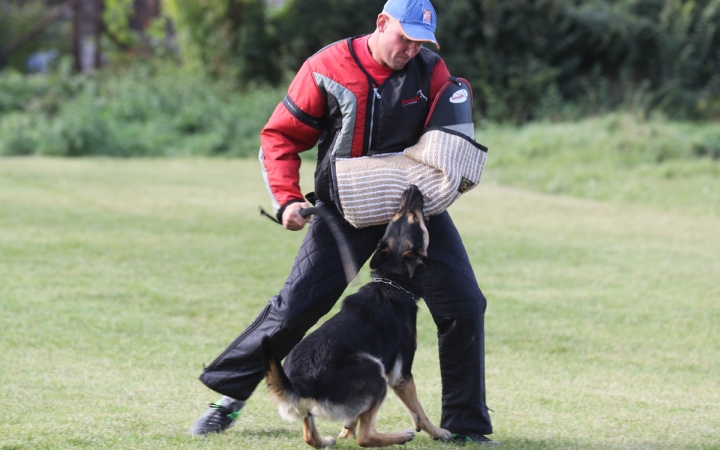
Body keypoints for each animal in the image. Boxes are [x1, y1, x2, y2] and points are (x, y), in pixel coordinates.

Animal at [260, 185, 450, 446]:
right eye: (412, 217)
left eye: (397, 216)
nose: (411, 189)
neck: (392, 282)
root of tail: (300, 384)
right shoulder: (401, 374)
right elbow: (418, 411)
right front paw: (437, 432)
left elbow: (352, 418)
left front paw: (345, 431)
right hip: (376, 372)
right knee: (366, 436)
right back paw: (401, 436)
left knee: (310, 435)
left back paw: (326, 441)